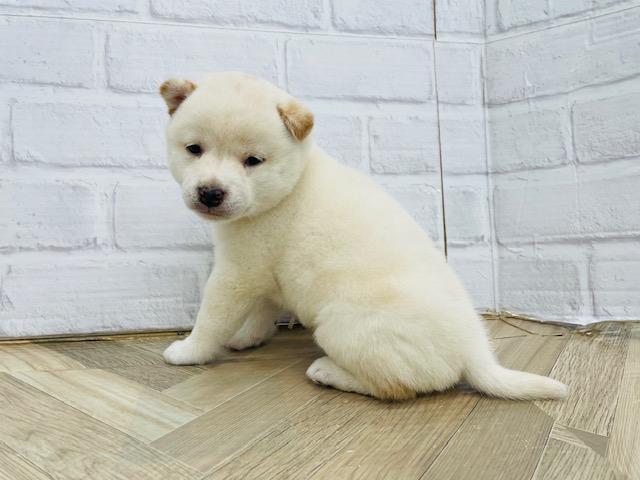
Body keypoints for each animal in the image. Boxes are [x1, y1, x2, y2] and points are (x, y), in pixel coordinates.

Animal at [159, 72, 567, 401]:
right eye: (194, 150)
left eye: (253, 161)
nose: (210, 193)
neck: (288, 188)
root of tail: (474, 351)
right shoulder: (265, 276)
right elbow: (261, 314)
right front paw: (246, 338)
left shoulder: (236, 274)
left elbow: (211, 318)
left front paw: (189, 350)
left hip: (342, 326)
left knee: (396, 387)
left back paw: (328, 372)